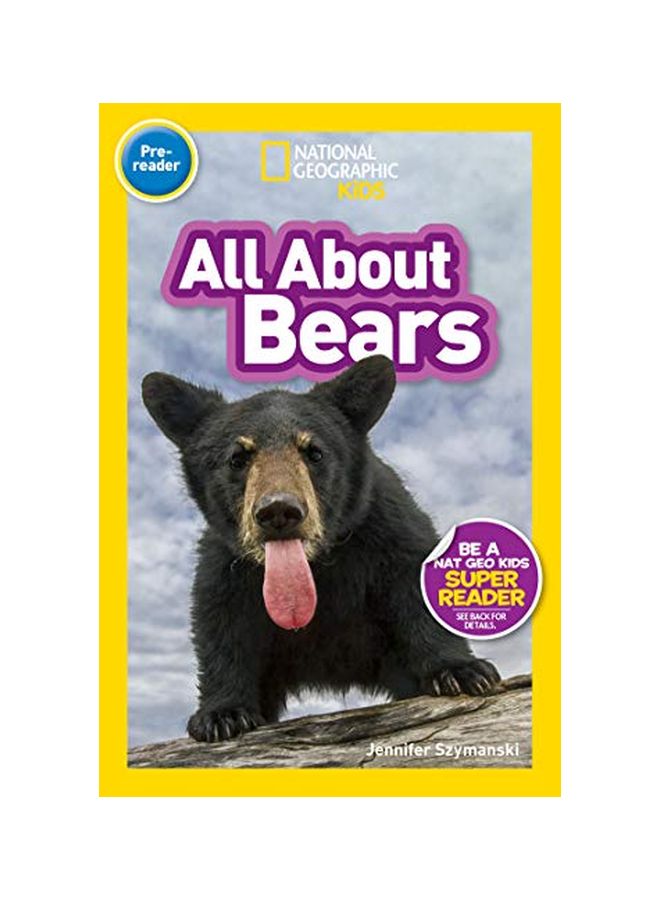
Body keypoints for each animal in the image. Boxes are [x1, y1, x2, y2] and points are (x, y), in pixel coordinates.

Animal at [141, 355, 500, 742]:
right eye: (238, 457)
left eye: (314, 452)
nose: (279, 511)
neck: (317, 566)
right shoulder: (226, 562)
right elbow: (220, 620)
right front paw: (221, 714)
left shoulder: (386, 526)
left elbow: (414, 583)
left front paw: (463, 672)